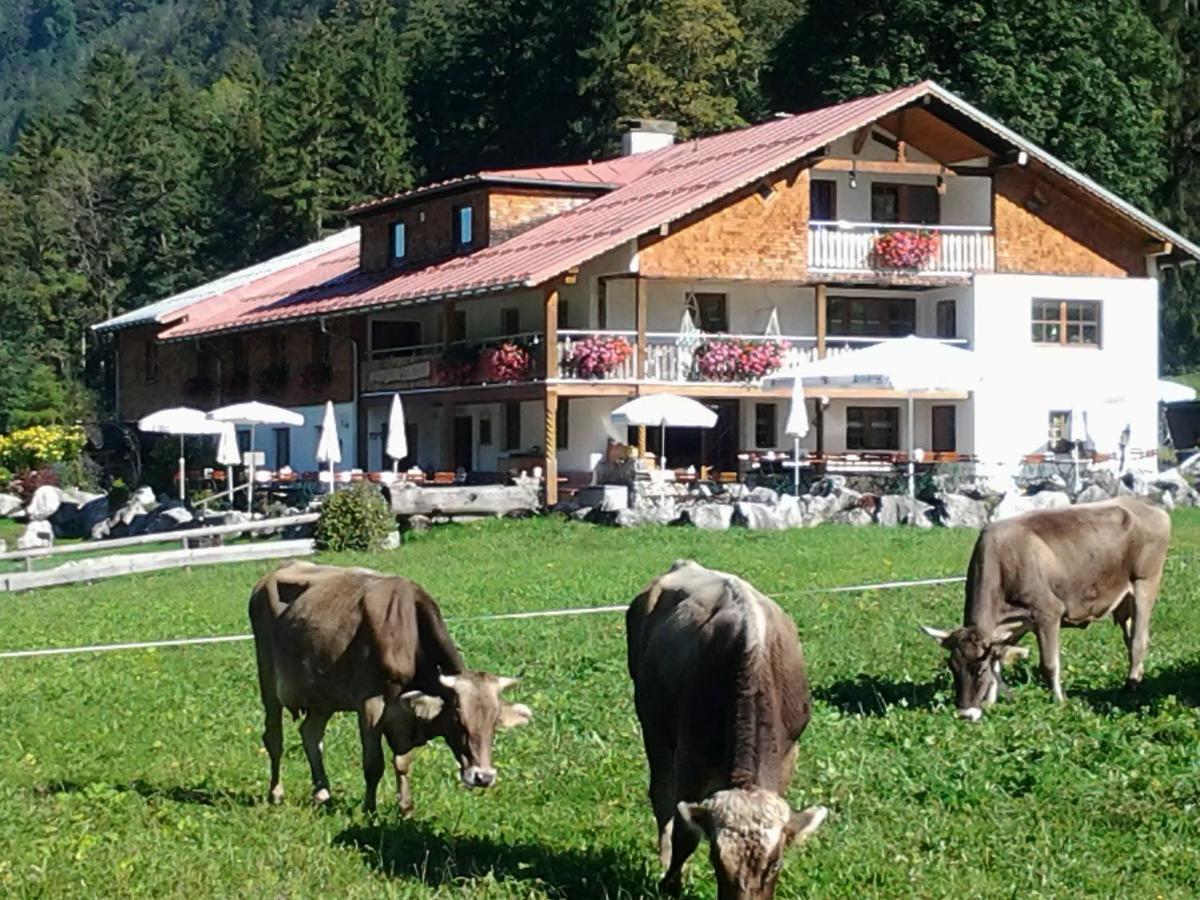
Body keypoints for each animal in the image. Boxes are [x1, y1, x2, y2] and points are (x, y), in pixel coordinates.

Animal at [248, 564, 530, 811]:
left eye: (494, 723)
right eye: (458, 720)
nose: (483, 777)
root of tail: (269, 576)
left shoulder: (402, 713)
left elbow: (403, 762)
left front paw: (405, 807)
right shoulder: (371, 704)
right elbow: (374, 764)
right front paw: (369, 809)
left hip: (323, 696)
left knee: (311, 735)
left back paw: (322, 793)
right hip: (268, 679)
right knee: (274, 738)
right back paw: (276, 793)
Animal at [624, 561, 830, 897]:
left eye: (775, 864)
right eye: (717, 860)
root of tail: (686, 564)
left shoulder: (789, 753)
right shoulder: (690, 757)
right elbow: (685, 834)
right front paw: (671, 883)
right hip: (652, 724)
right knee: (661, 795)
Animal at [921, 496, 1166, 724]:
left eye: (978, 669)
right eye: (952, 667)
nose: (965, 714)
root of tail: (1145, 505)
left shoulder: (1048, 613)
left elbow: (1048, 665)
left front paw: (1058, 701)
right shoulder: (1010, 626)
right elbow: (997, 661)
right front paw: (991, 702)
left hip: (1145, 584)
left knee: (1138, 640)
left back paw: (1130, 685)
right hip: (1124, 601)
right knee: (1129, 637)